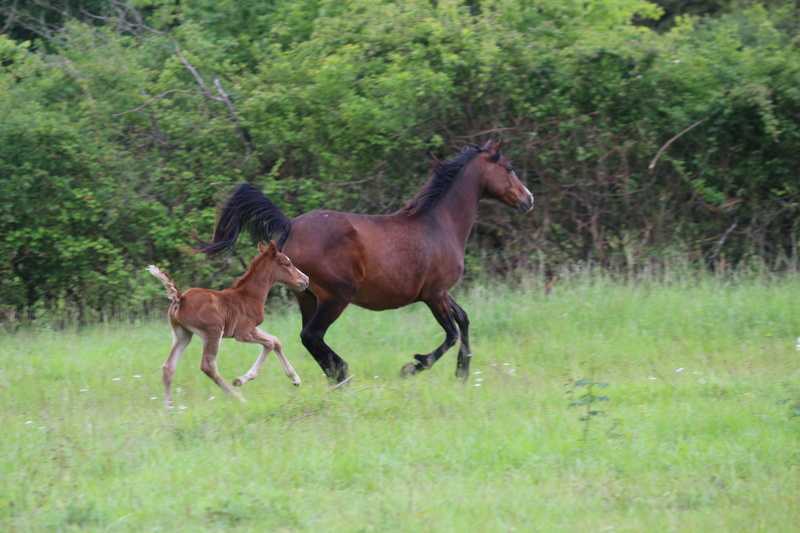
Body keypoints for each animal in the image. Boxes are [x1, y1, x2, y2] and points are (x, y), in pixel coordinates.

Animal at [148, 241, 310, 408]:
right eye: (287, 263)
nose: (306, 279)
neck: (250, 294)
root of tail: (180, 298)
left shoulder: (251, 328)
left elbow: (275, 340)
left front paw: (295, 379)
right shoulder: (241, 334)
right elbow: (270, 343)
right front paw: (240, 380)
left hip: (182, 334)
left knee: (168, 366)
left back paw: (169, 407)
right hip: (212, 332)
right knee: (208, 366)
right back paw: (238, 397)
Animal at [199, 139, 536, 382]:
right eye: (508, 168)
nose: (528, 200)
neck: (440, 224)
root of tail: (291, 224)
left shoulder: (439, 293)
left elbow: (463, 319)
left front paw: (462, 371)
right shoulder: (434, 294)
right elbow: (452, 332)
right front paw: (414, 366)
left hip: (306, 296)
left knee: (309, 338)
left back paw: (337, 376)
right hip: (337, 295)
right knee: (312, 335)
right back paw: (343, 372)